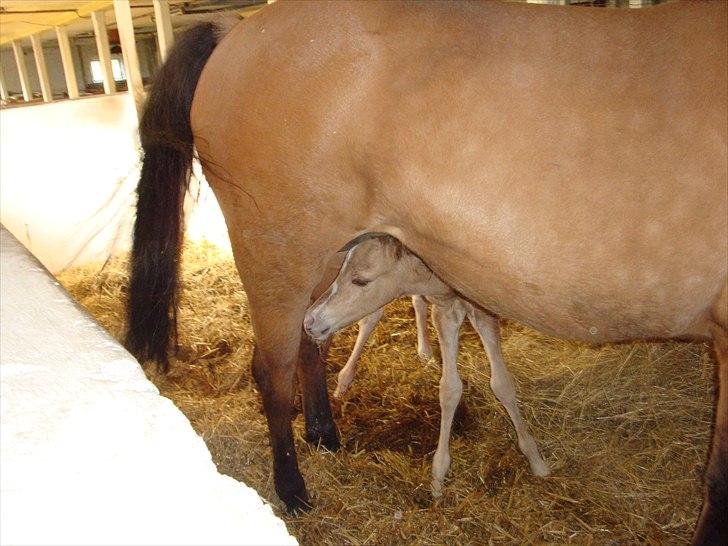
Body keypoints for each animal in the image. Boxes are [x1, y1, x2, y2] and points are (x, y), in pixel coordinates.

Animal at [304, 236, 548, 496]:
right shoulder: (445, 311)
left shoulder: (481, 309)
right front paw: (439, 474)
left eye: (360, 280)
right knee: (376, 315)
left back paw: (423, 350)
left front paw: (536, 460)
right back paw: (344, 380)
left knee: (412, 304)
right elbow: (450, 390)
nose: (308, 321)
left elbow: (501, 384)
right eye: (340, 271)